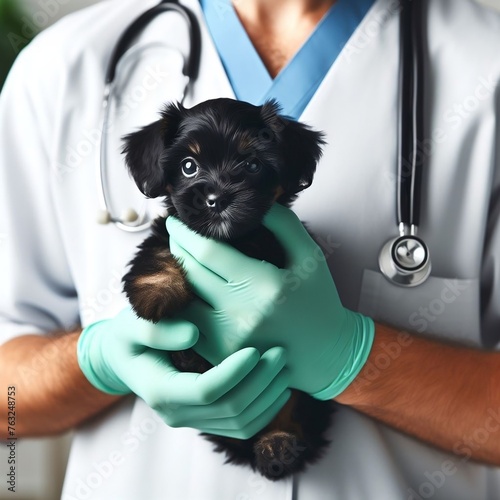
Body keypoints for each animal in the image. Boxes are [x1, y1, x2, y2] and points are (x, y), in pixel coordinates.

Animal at [121, 98, 334, 480]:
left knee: (293, 413)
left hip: (301, 403)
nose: (216, 197)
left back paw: (278, 447)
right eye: (188, 166)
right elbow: (156, 254)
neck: (232, 241)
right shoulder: (167, 232)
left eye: (252, 164)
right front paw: (157, 295)